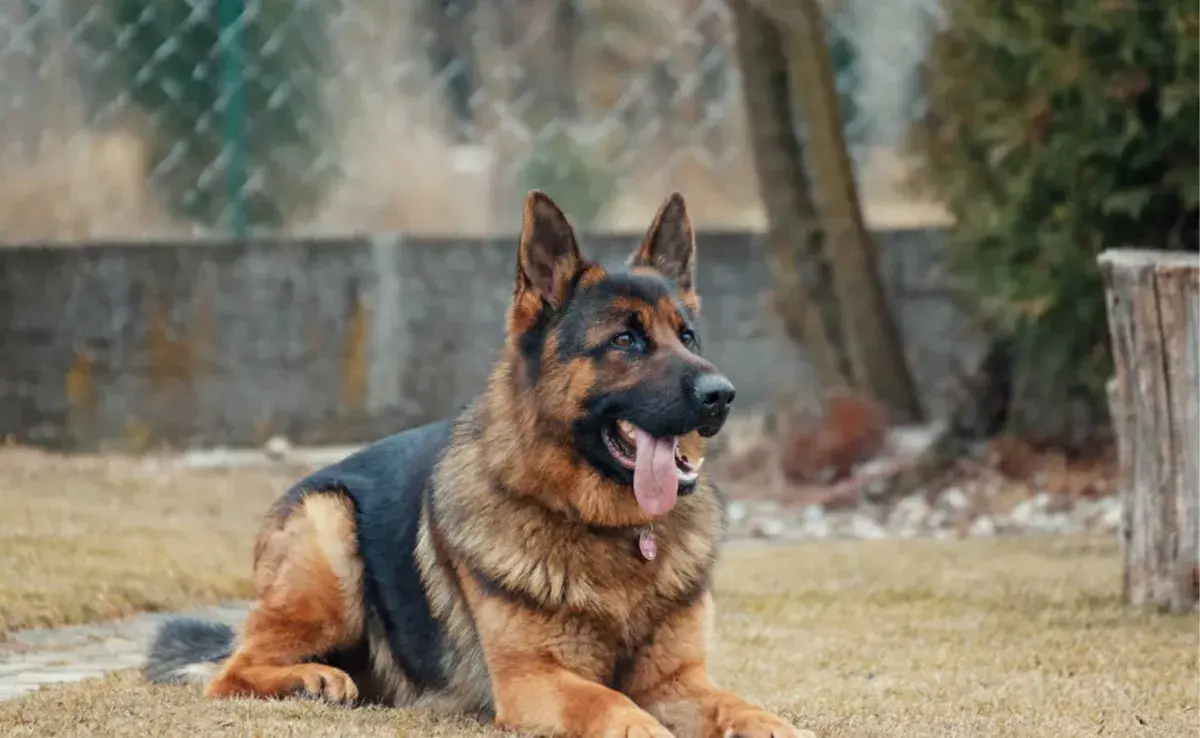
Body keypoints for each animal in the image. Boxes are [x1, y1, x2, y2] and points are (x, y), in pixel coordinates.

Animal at [145, 192, 811, 738]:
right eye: (626, 341)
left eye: (687, 337)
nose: (722, 394)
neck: (615, 533)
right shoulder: (534, 683)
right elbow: (614, 705)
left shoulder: (679, 681)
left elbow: (741, 707)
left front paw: (778, 725)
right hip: (328, 530)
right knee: (231, 670)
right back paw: (313, 677)